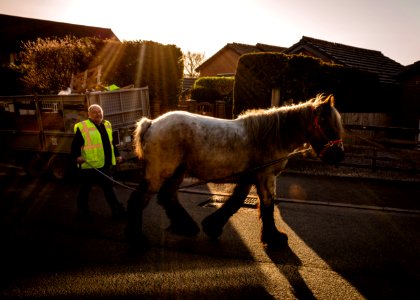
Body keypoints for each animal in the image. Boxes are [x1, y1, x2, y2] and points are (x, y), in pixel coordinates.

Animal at [125, 95, 344, 250]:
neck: (271, 136)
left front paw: (213, 226)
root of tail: (151, 124)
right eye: (326, 123)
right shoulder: (266, 177)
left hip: (177, 172)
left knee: (167, 196)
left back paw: (186, 226)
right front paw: (274, 238)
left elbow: (236, 201)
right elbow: (267, 204)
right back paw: (137, 238)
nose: (339, 155)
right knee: (139, 199)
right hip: (159, 174)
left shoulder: (250, 177)